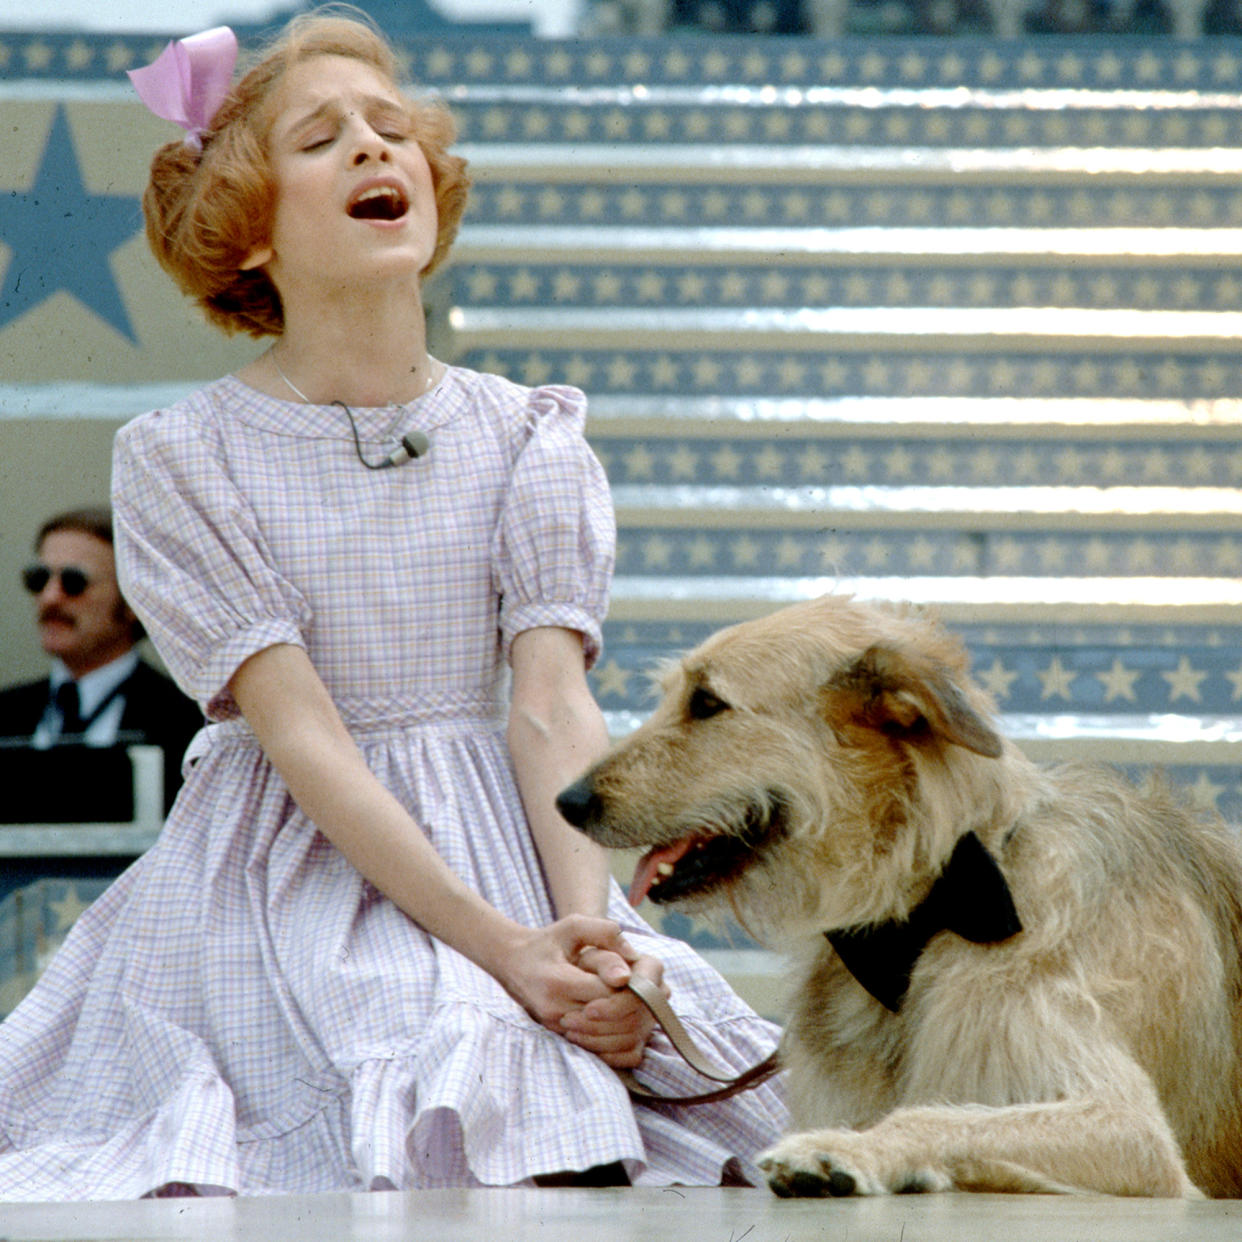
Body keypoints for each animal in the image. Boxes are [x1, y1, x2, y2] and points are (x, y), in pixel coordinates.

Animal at [558, 596, 1242, 1197]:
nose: (567, 802)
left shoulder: (1130, 1132)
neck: (926, 908)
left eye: (707, 703)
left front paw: (843, 1151)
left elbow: (937, 1115)